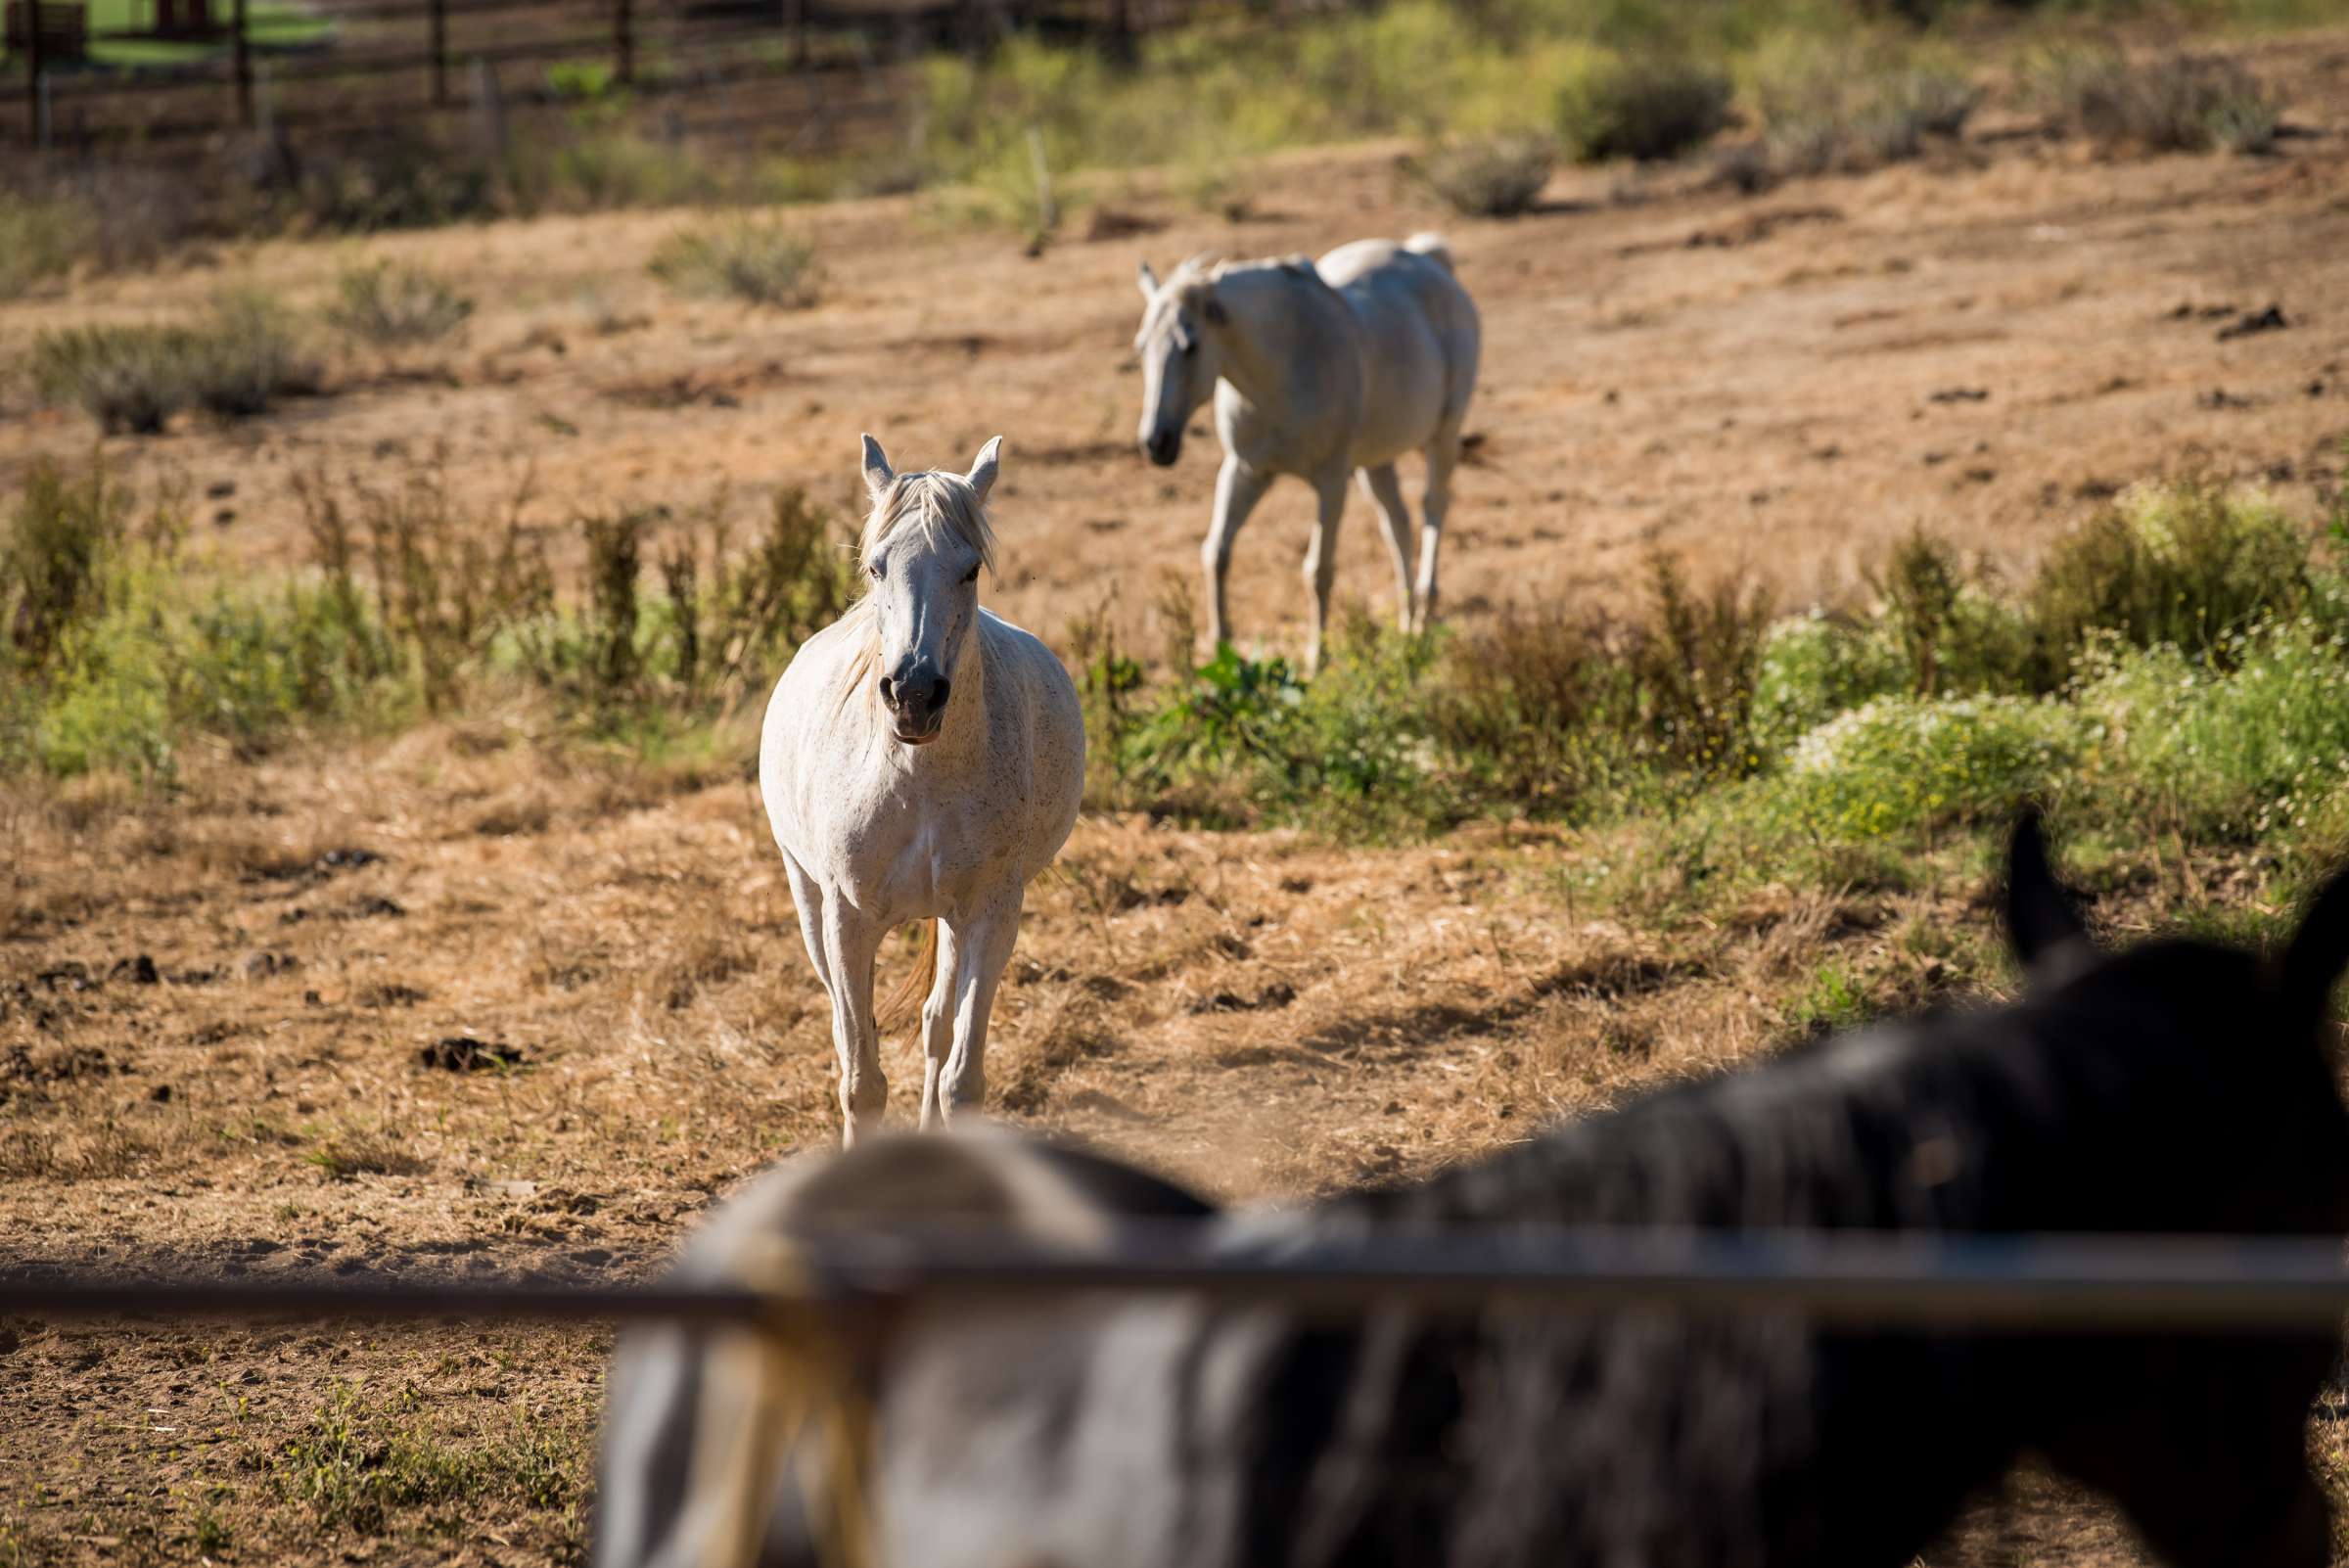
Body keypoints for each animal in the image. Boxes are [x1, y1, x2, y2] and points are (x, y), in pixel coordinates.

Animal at [760, 434, 1081, 1145]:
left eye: (970, 570)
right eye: (876, 566)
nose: (913, 695)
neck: (915, 780)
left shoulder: (992, 913)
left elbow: (962, 1076)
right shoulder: (846, 921)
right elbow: (862, 1080)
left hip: (954, 918)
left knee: (937, 1025)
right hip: (807, 899)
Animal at [1136, 230, 1484, 670]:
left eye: (1190, 345)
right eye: (1141, 348)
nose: (1156, 443)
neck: (1280, 370)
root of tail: (1431, 263)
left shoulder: (1331, 480)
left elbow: (1318, 570)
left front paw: (1317, 661)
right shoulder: (1245, 471)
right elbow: (1216, 553)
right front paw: (1222, 651)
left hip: (1443, 435)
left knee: (1433, 509)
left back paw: (1423, 618)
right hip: (1376, 460)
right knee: (1397, 525)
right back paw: (1406, 629)